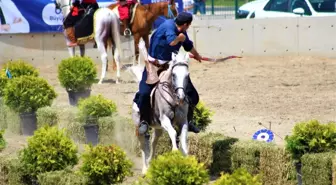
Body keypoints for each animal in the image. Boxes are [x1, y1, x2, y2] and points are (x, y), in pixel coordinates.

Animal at [131, 39, 190, 174]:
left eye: (187, 76)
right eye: (173, 75)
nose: (181, 97)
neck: (173, 99)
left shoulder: (183, 121)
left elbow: (183, 139)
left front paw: (185, 157)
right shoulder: (164, 119)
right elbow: (173, 133)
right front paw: (174, 151)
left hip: (158, 128)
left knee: (153, 143)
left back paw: (150, 163)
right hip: (139, 126)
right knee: (143, 145)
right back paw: (145, 169)